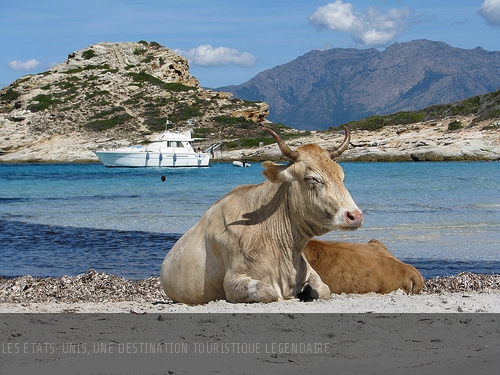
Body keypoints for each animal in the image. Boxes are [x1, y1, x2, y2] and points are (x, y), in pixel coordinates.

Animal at [160, 126, 364, 306]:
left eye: (342, 176)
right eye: (312, 178)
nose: (355, 215)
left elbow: (324, 289)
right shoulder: (233, 280)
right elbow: (268, 291)